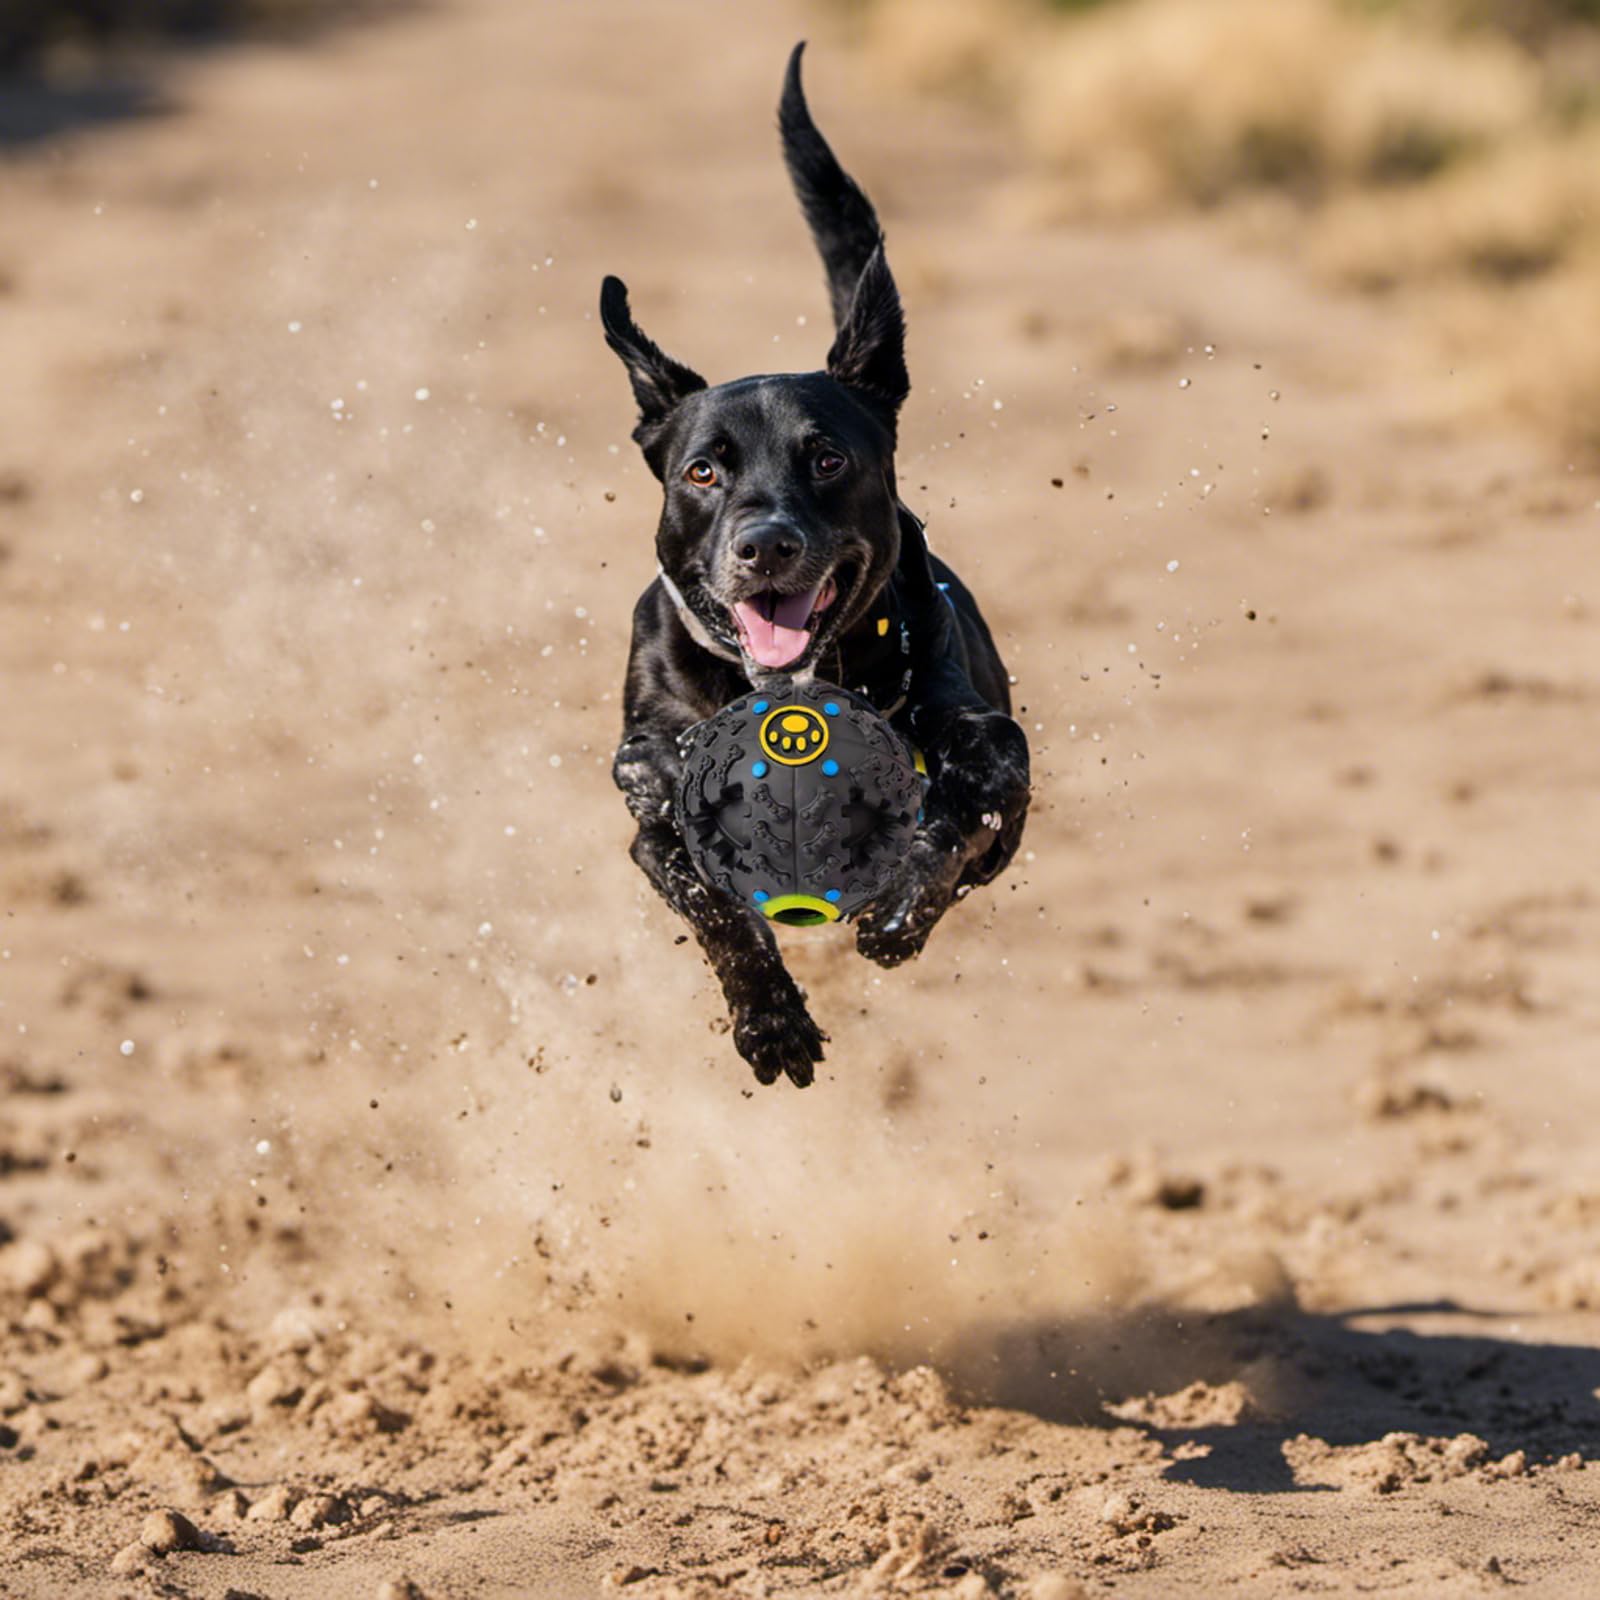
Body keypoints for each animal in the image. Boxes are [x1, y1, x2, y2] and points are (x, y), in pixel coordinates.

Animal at [601, 43, 1024, 1088]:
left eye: (826, 458)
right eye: (703, 469)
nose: (765, 545)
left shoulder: (988, 745)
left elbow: (961, 813)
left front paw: (902, 906)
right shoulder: (650, 810)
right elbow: (710, 898)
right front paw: (771, 1020)